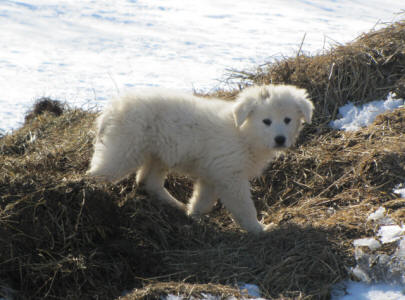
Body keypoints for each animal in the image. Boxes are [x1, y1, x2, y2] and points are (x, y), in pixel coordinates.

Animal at [87, 85, 314, 233]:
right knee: (100, 173)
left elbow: (202, 200)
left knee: (147, 181)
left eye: (287, 119)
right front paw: (260, 228)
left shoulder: (213, 174)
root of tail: (109, 110)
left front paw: (194, 216)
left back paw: (177, 205)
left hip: (157, 154)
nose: (280, 139)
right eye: (266, 121)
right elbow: (243, 205)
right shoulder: (231, 176)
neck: (242, 132)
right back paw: (89, 190)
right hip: (125, 148)